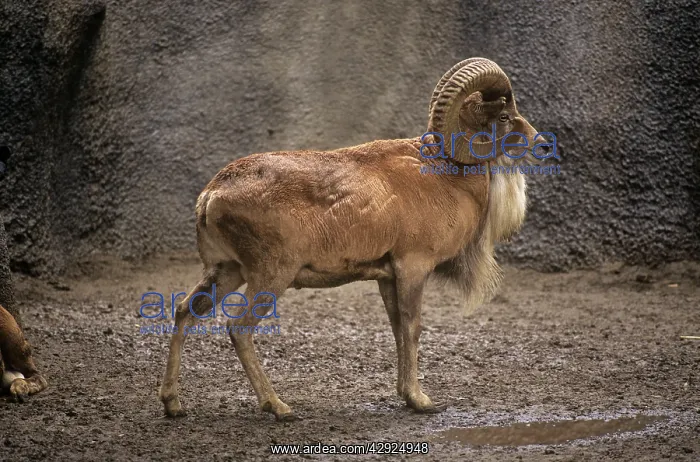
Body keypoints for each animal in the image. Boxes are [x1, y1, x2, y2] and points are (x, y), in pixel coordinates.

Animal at [159, 58, 541, 420]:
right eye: (504, 116)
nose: (540, 142)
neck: (446, 177)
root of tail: (211, 196)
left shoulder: (388, 277)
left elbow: (397, 328)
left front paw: (405, 395)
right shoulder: (413, 267)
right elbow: (413, 328)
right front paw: (422, 401)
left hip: (226, 271)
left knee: (184, 311)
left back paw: (173, 404)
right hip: (270, 275)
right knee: (239, 328)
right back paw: (279, 407)